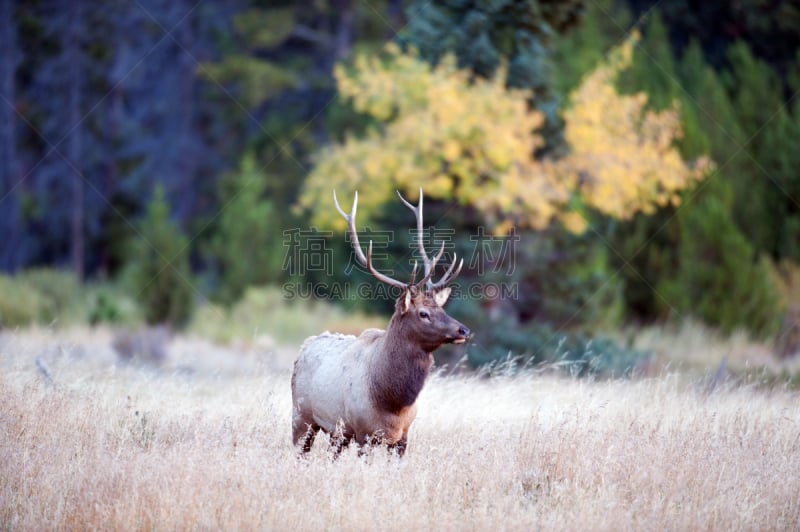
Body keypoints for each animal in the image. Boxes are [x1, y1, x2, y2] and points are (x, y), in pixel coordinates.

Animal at [292, 189, 468, 456]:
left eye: (441, 308)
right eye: (423, 314)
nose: (463, 330)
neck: (392, 402)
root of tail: (304, 346)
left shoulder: (403, 437)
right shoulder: (364, 434)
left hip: (337, 433)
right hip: (301, 417)